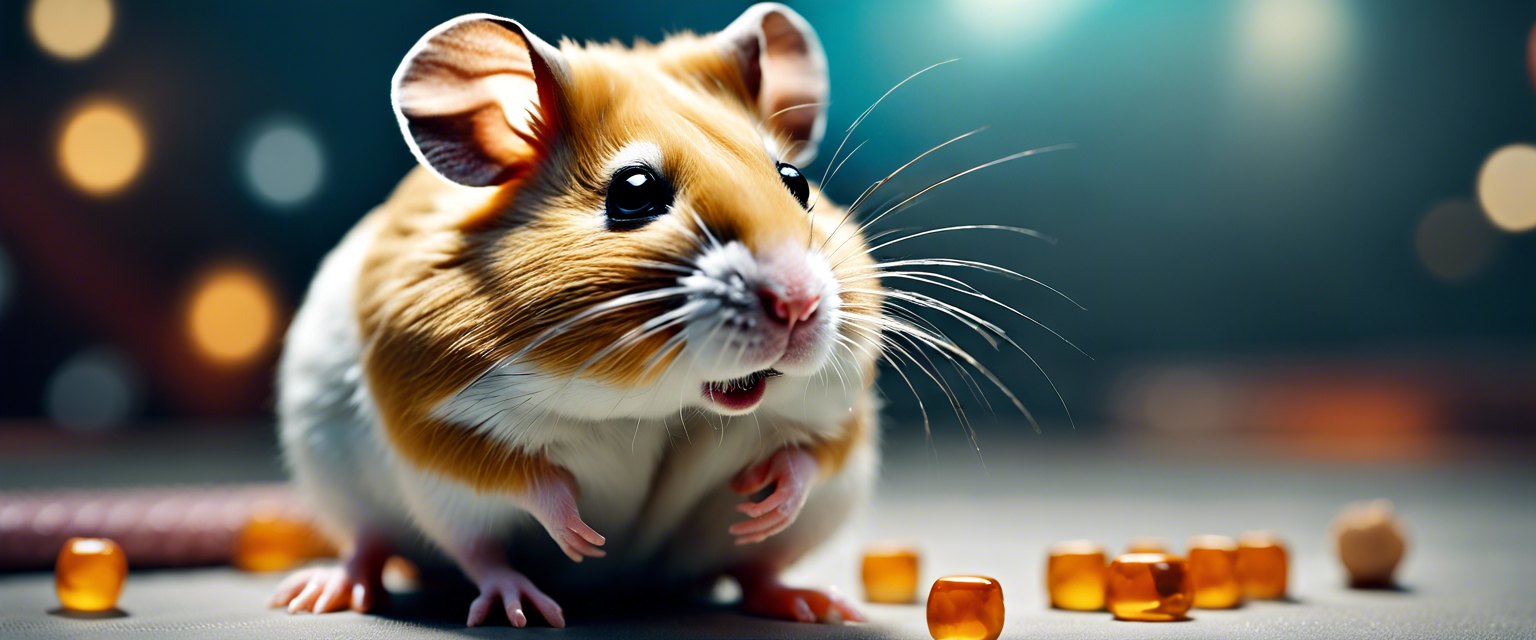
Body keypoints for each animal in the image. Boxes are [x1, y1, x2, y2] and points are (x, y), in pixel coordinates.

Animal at [271, 3, 884, 627]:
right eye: (633, 191)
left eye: (795, 181)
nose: (799, 303)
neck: (657, 406)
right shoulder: (436, 424)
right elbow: (523, 480)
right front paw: (584, 539)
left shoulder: (841, 410)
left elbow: (809, 456)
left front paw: (769, 495)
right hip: (349, 487)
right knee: (423, 548)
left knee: (756, 568)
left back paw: (812, 602)